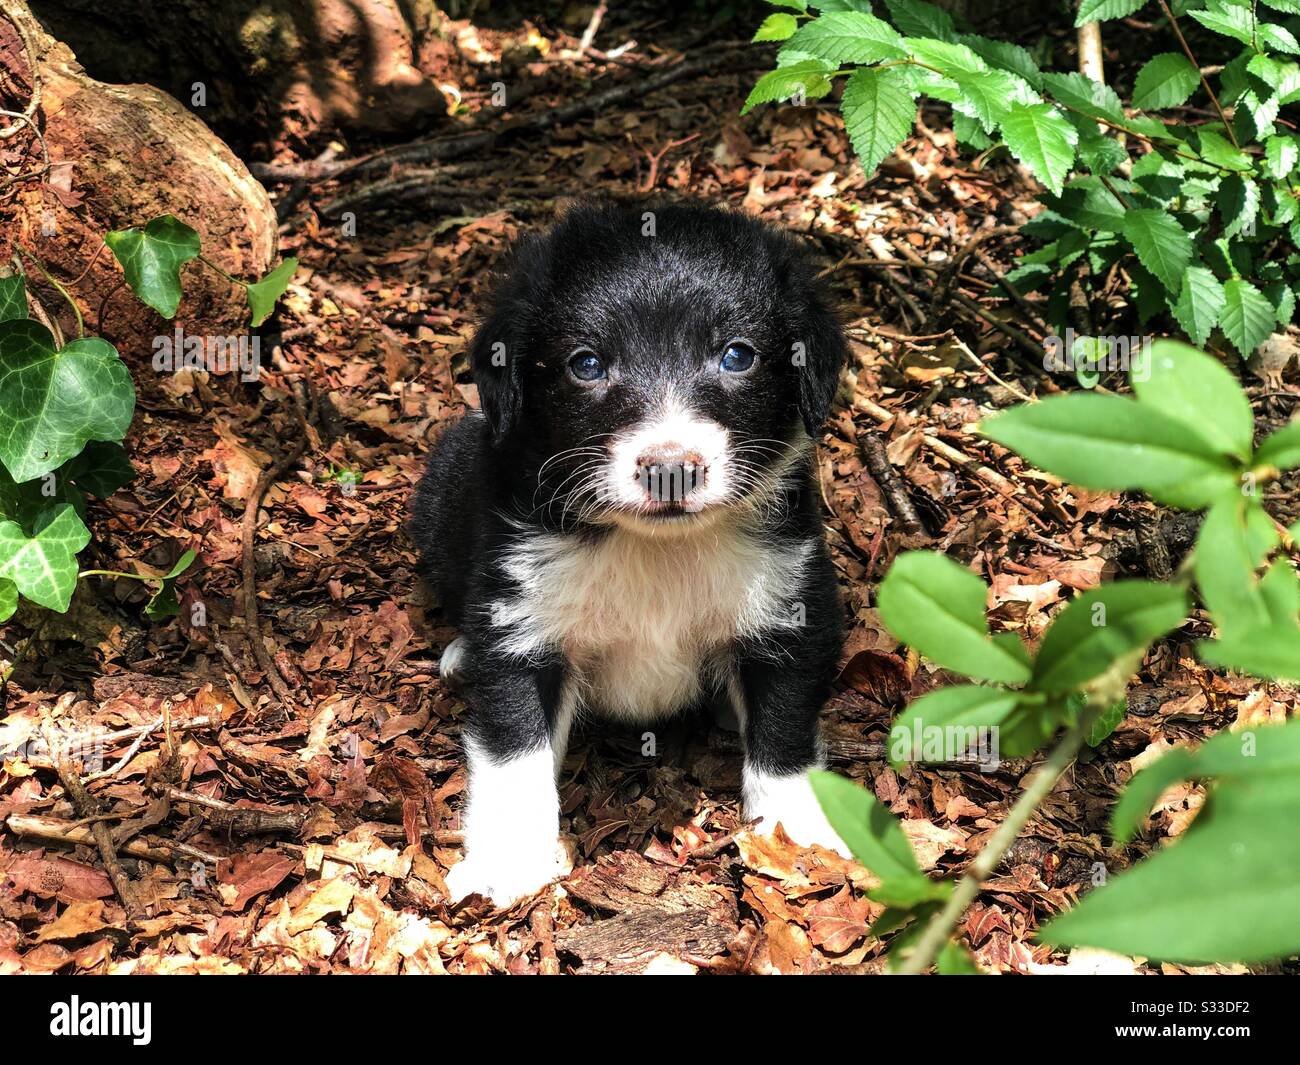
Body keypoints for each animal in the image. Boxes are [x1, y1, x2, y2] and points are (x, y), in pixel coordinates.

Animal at [410, 201, 847, 910]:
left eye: (737, 355)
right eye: (586, 364)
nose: (670, 469)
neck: (655, 550)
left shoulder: (787, 606)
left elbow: (783, 734)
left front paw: (798, 832)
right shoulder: (521, 625)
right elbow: (514, 752)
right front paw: (508, 859)